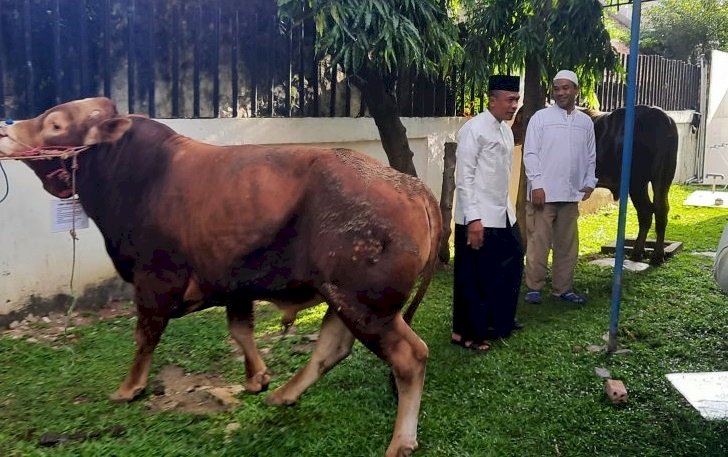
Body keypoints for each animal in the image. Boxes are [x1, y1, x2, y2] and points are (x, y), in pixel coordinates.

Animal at [0, 97, 440, 456]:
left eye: (56, 124)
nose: (6, 131)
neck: (129, 171)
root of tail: (412, 185)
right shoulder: (234, 285)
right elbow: (240, 331)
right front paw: (258, 379)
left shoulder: (155, 279)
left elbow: (145, 336)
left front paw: (129, 388)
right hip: (343, 298)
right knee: (332, 348)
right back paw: (284, 395)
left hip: (366, 304)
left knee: (410, 356)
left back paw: (401, 442)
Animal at [512, 104, 676, 264]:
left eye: (519, 118)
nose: (513, 134)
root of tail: (662, 118)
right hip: (662, 178)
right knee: (661, 209)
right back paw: (654, 254)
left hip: (637, 182)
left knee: (646, 211)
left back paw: (641, 253)